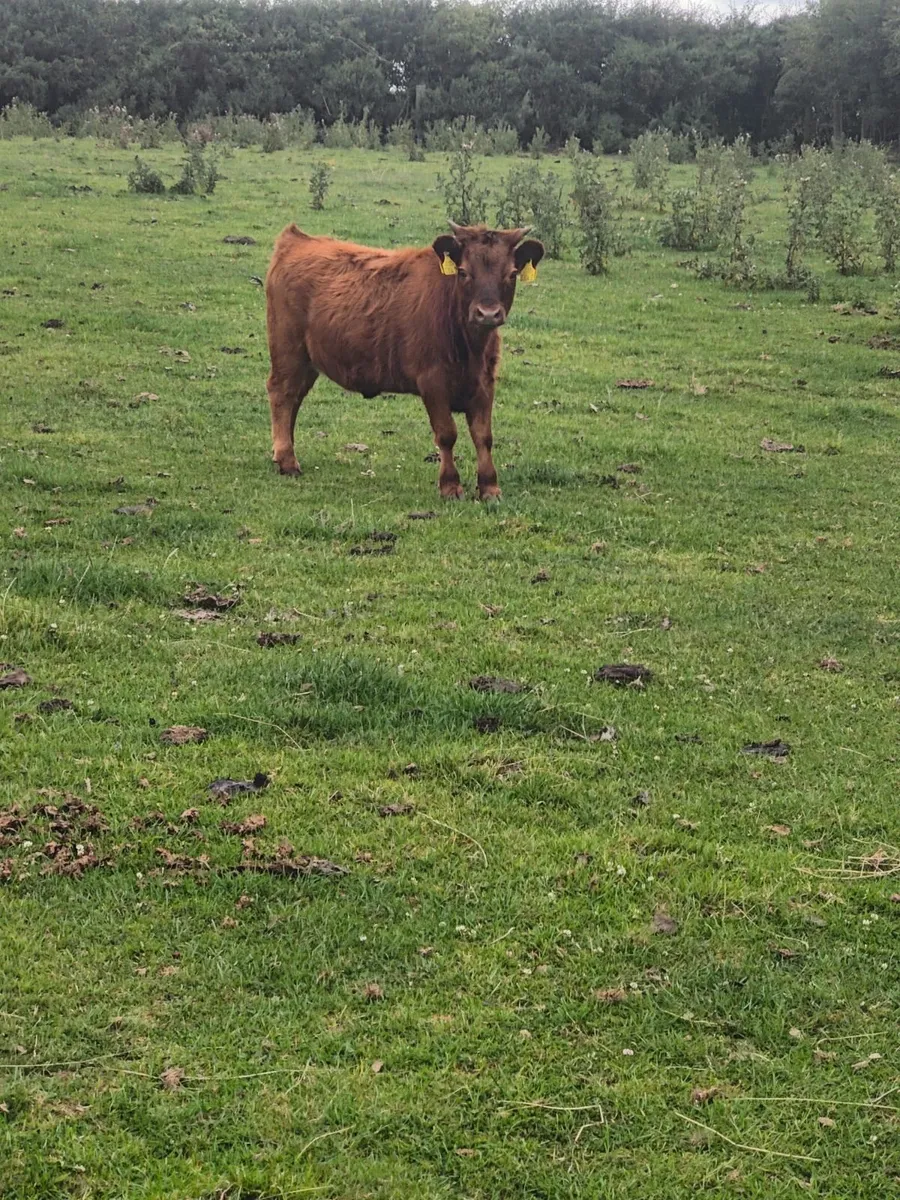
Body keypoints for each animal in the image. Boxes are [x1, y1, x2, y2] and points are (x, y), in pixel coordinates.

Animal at [264, 221, 544, 500]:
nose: (487, 313)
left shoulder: (485, 384)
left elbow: (483, 436)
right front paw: (450, 485)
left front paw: (489, 487)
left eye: (511, 274)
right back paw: (287, 459)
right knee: (282, 393)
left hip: (307, 361)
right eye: (464, 272)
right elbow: (446, 434)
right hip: (288, 351)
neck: (470, 347)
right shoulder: (432, 382)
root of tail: (297, 239)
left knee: (295, 397)